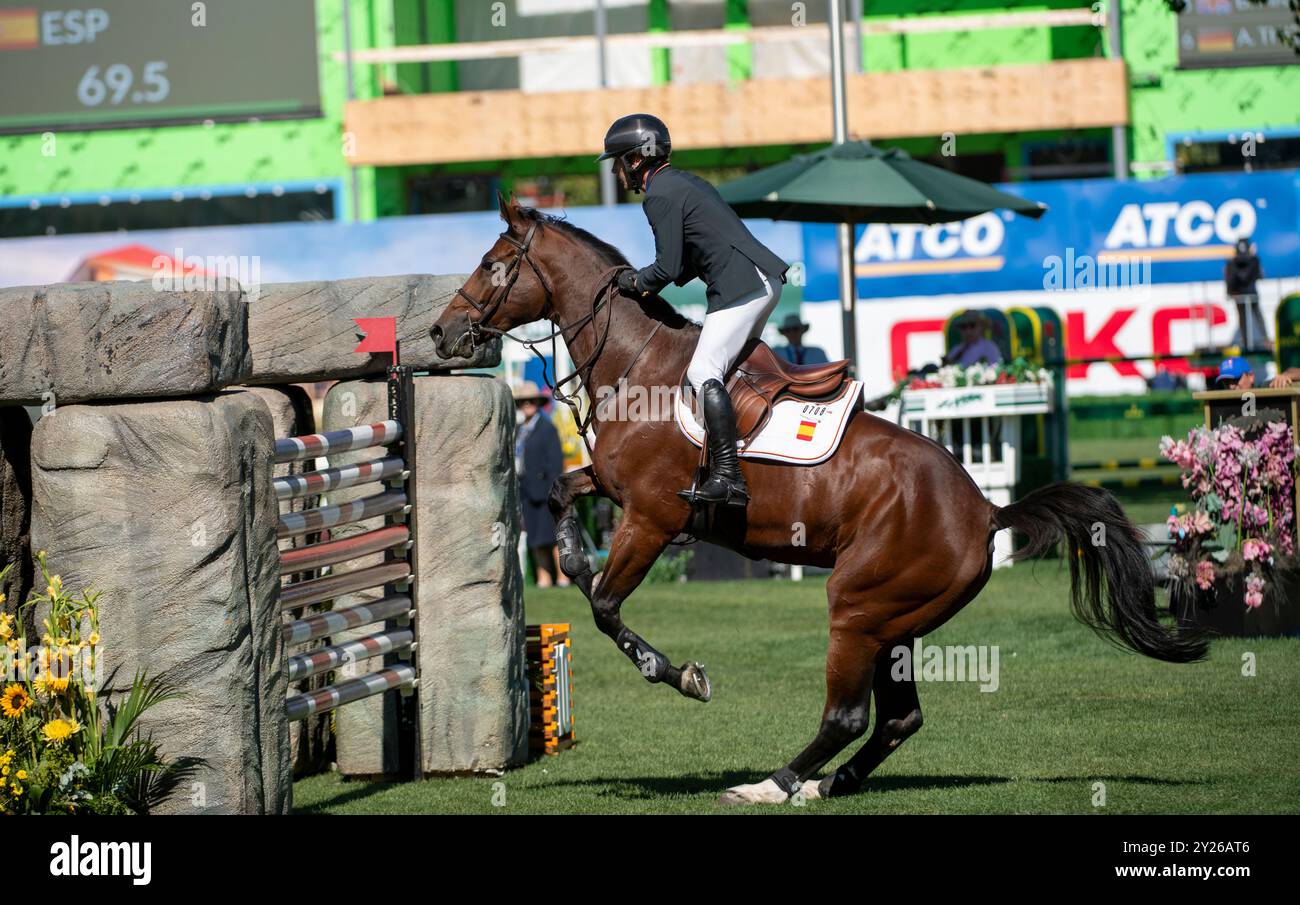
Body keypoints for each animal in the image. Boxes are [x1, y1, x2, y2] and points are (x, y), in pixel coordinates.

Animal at [431, 197, 1201, 806]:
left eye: (493, 265)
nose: (441, 333)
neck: (635, 359)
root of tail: (986, 511)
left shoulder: (651, 517)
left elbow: (606, 609)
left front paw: (680, 675)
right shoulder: (617, 490)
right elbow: (564, 493)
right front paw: (567, 553)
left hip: (857, 607)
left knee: (848, 715)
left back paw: (771, 784)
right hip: (895, 618)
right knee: (897, 719)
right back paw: (827, 783)